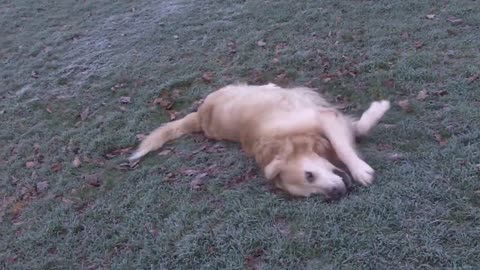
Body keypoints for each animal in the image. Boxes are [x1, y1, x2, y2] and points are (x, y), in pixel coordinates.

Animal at [130, 83, 390, 199]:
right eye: (311, 193)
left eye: (309, 175)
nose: (337, 193)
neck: (286, 139)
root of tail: (199, 116)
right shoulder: (329, 120)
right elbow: (354, 133)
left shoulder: (324, 117)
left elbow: (346, 144)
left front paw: (360, 170)